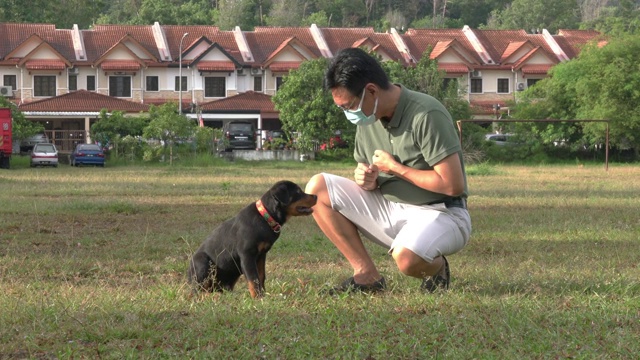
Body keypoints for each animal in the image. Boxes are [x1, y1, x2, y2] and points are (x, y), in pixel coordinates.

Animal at [188, 180, 318, 298]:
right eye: (298, 192)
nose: (316, 196)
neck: (265, 217)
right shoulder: (247, 255)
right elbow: (253, 278)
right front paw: (258, 297)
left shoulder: (261, 255)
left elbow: (261, 276)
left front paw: (264, 295)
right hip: (202, 261)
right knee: (196, 291)